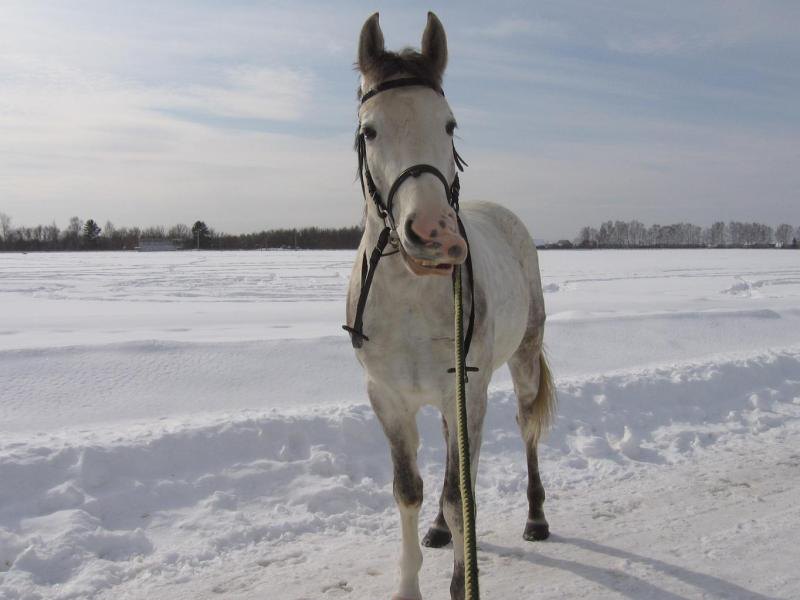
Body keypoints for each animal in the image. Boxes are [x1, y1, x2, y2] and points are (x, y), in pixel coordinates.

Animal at [344, 10, 556, 600]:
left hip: (520, 362)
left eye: (449, 125)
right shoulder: (388, 398)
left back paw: (536, 518)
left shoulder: (468, 389)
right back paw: (438, 531)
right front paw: (409, 583)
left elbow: (463, 498)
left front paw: (463, 582)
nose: (435, 236)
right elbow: (409, 490)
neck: (411, 299)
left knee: (526, 428)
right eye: (369, 130)